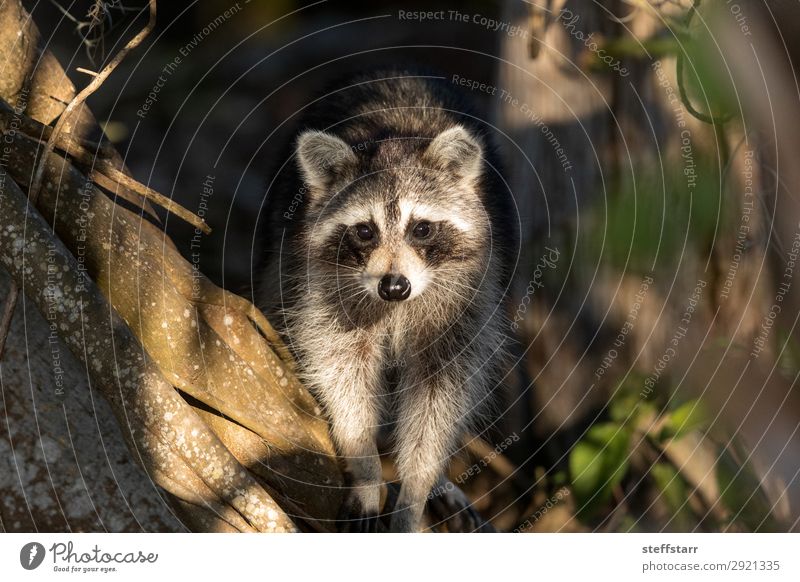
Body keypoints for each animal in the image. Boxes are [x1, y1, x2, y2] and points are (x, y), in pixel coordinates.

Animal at [260, 69, 516, 532]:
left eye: (422, 229)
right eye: (365, 231)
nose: (394, 287)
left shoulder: (466, 303)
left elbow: (440, 395)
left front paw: (417, 487)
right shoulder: (325, 288)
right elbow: (343, 371)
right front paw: (365, 466)